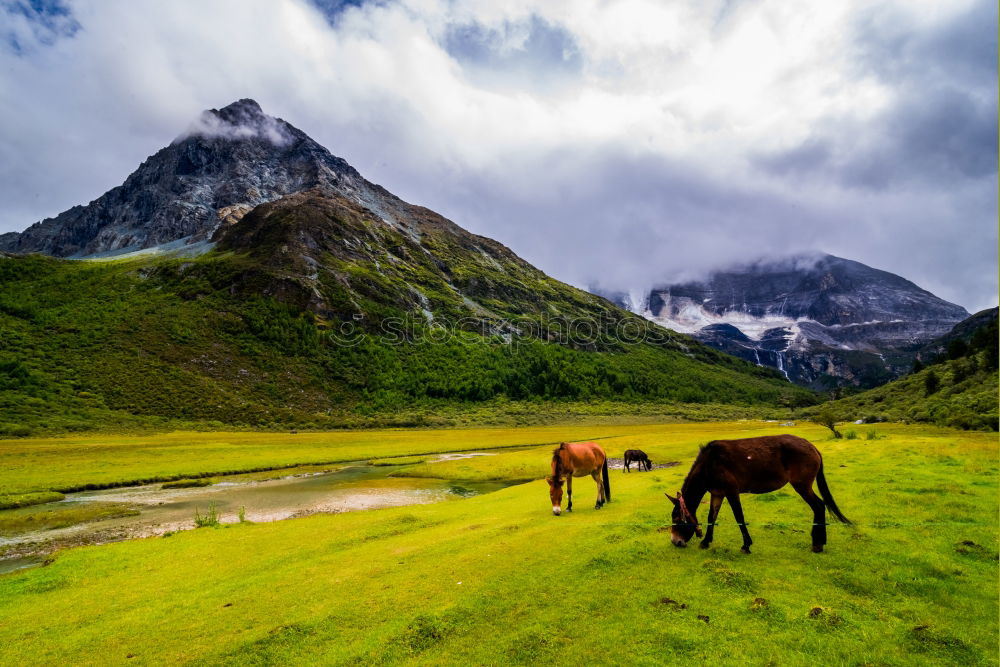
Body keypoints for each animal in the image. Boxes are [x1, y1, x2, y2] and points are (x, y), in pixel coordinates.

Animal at [668, 434, 848, 552]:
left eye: (676, 518)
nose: (675, 542)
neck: (710, 464)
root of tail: (812, 447)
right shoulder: (717, 494)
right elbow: (711, 517)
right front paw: (706, 542)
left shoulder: (731, 492)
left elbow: (739, 517)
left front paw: (746, 545)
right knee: (820, 506)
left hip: (802, 486)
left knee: (819, 506)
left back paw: (818, 543)